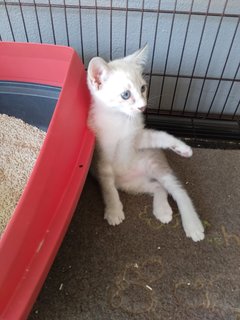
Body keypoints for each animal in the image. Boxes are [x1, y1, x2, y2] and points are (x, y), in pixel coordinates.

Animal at [86, 45, 204, 242]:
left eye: (142, 88)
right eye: (126, 95)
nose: (143, 106)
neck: (122, 121)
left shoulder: (138, 138)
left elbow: (160, 136)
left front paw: (182, 148)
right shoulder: (102, 157)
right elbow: (108, 187)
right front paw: (114, 210)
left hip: (153, 162)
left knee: (178, 191)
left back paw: (192, 224)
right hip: (131, 184)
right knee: (158, 187)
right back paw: (163, 210)